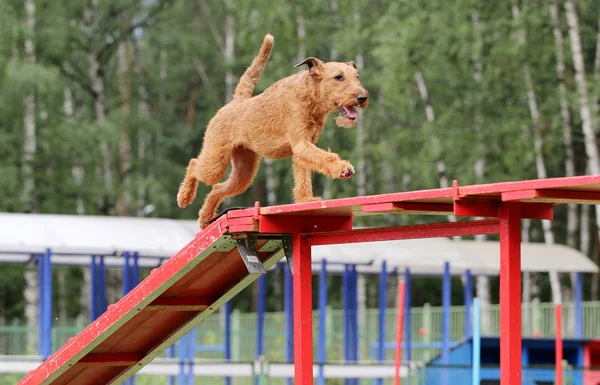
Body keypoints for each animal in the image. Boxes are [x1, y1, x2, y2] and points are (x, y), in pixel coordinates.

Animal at [176, 33, 368, 228]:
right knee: (194, 165)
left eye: (357, 76)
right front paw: (343, 168)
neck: (311, 96)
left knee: (217, 188)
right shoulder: (301, 144)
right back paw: (184, 197)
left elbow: (303, 177)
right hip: (215, 162)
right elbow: (326, 157)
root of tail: (236, 101)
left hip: (243, 173)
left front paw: (306, 199)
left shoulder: (303, 148)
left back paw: (205, 218)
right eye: (338, 77)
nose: (362, 97)